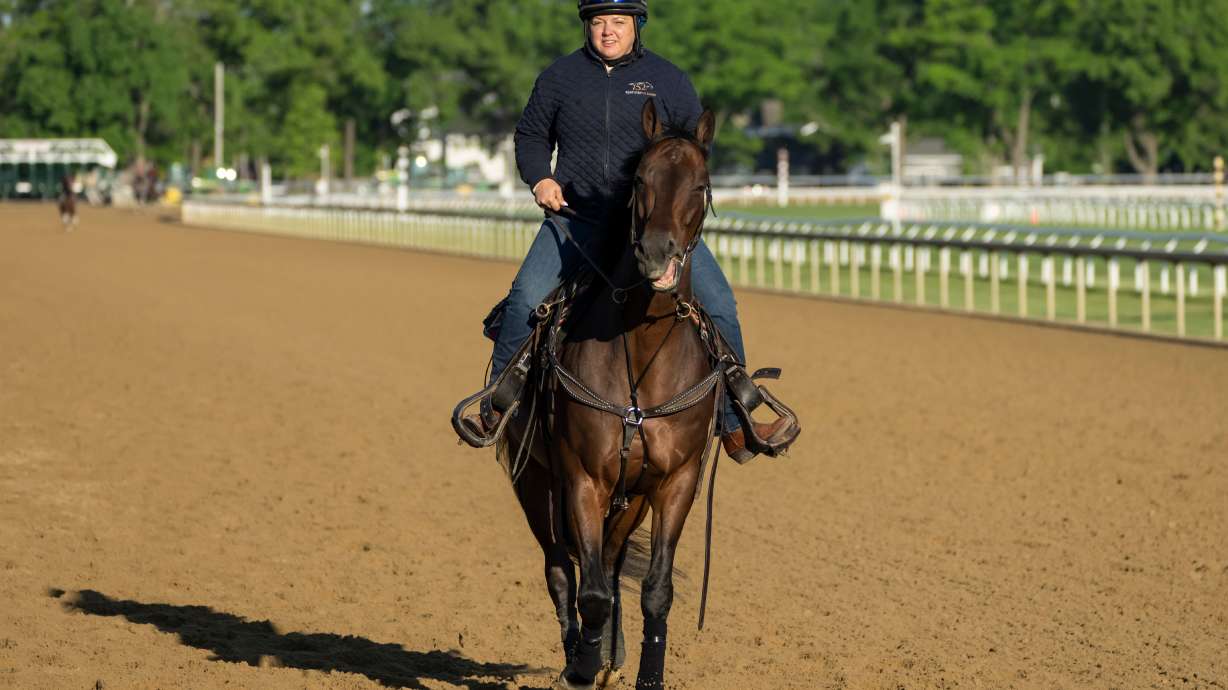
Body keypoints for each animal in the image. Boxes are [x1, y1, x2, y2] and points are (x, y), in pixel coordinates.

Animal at [501, 100, 722, 690]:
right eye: (641, 179)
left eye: (700, 184)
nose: (657, 254)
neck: (641, 356)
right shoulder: (581, 478)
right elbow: (592, 591)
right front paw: (580, 666)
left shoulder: (674, 482)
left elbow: (654, 589)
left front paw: (643, 673)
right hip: (536, 484)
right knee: (562, 569)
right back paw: (580, 653)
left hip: (632, 499)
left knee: (614, 560)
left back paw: (608, 652)